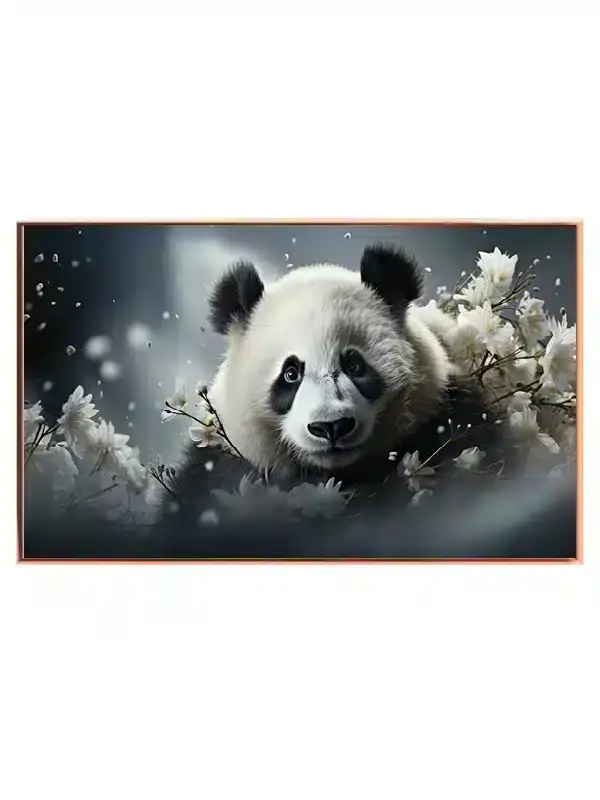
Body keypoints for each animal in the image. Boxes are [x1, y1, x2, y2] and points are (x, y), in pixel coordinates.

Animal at [158, 244, 505, 554]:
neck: (336, 475)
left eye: (355, 365)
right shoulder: (219, 462)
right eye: (291, 373)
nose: (331, 427)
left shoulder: (445, 414)